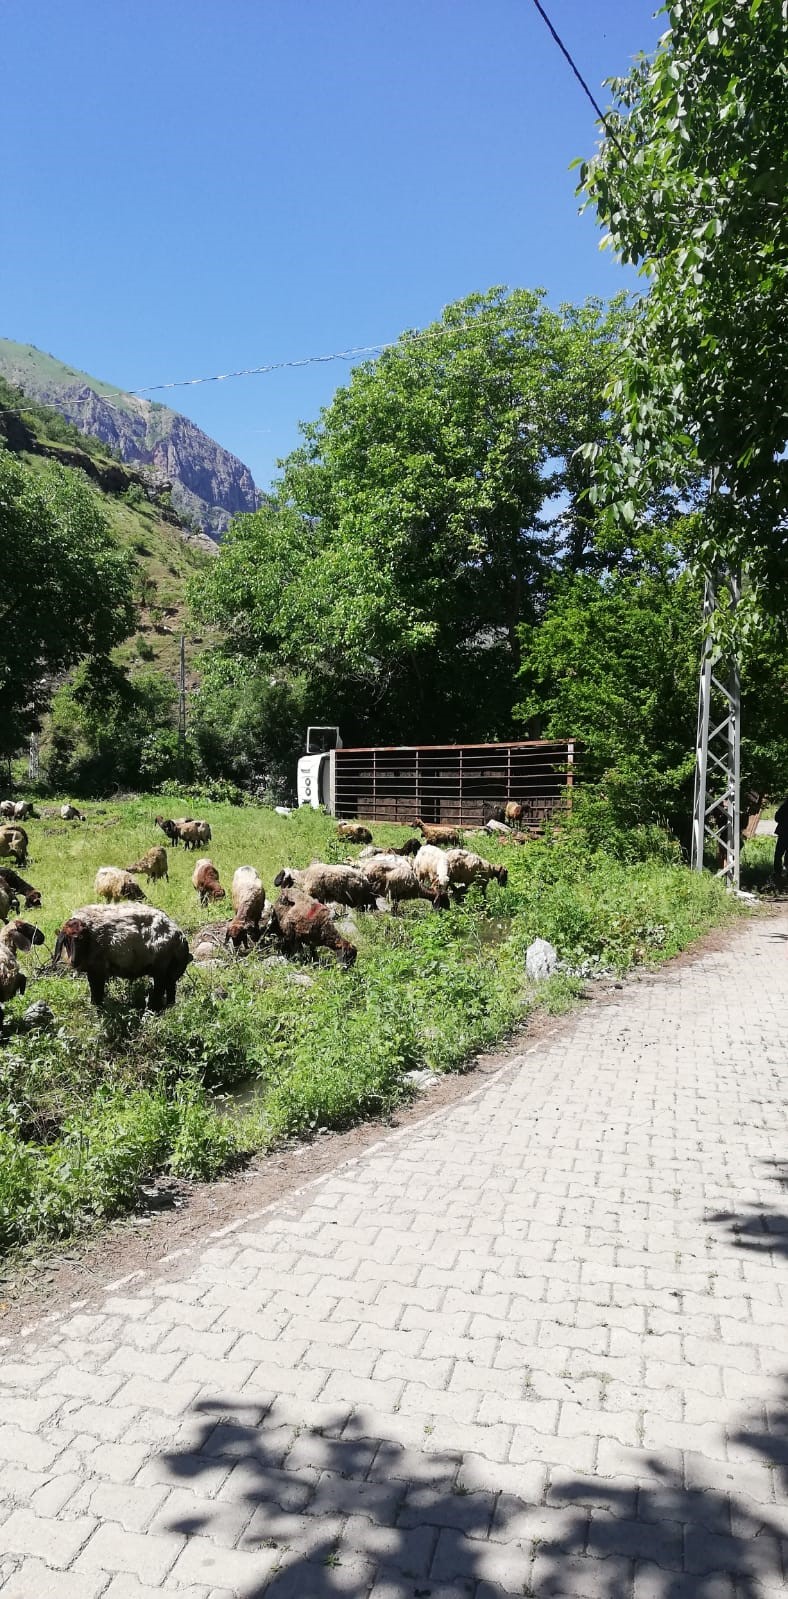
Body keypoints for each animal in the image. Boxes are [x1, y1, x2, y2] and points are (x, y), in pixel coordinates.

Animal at [53, 901, 191, 1010]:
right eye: (67, 940)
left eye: (82, 940)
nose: (74, 961)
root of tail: (179, 936)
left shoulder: (97, 969)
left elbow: (97, 992)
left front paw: (97, 1008)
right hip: (171, 971)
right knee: (171, 990)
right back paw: (169, 1007)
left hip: (161, 968)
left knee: (159, 990)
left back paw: (155, 1009)